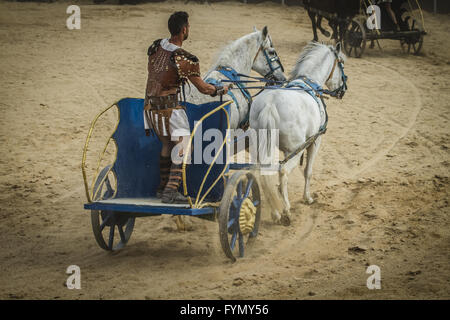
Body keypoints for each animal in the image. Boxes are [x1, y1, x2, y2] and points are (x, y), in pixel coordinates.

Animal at [250, 41, 348, 224]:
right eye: (342, 63)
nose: (343, 90)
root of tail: (270, 105)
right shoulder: (314, 142)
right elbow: (308, 171)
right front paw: (307, 197)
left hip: (259, 148)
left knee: (260, 173)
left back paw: (271, 210)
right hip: (295, 150)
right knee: (283, 172)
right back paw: (285, 211)